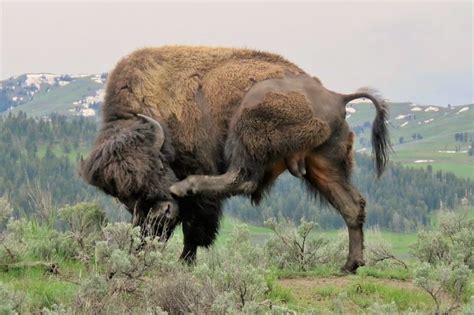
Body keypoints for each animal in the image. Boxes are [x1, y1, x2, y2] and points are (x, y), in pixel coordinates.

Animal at [80, 45, 388, 276]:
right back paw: (350, 265)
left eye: (157, 166)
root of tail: (336, 96)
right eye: (125, 196)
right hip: (323, 163)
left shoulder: (200, 175)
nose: (162, 212)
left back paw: (185, 186)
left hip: (248, 121)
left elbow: (195, 227)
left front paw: (185, 263)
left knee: (243, 178)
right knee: (351, 205)